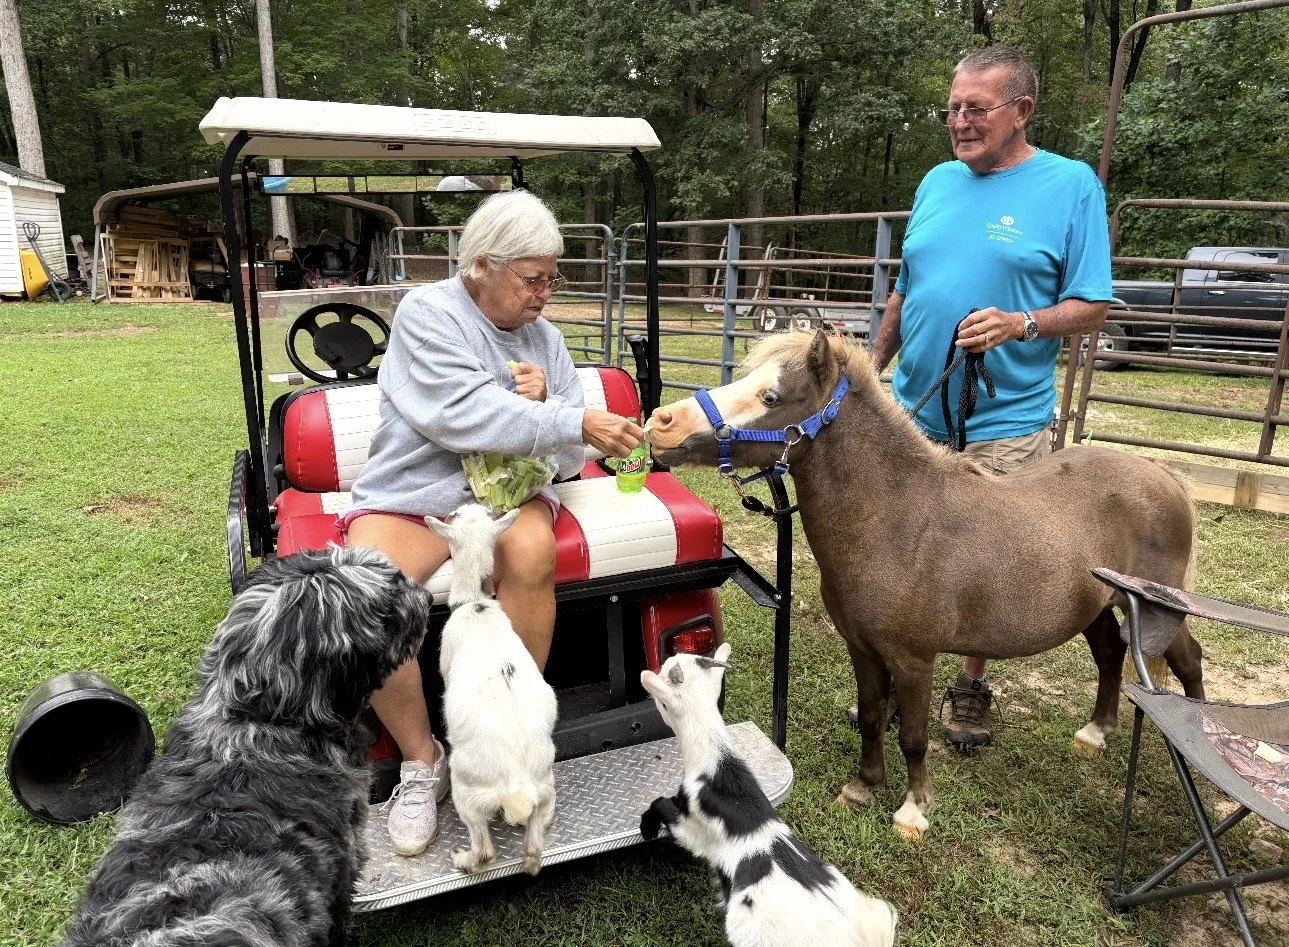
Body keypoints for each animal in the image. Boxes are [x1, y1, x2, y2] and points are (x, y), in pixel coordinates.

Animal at [640, 643, 898, 947]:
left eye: (662, 702)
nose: (660, 663)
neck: (718, 767)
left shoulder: (693, 829)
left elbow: (662, 805)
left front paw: (646, 828)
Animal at [647, 329, 1204, 838]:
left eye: (771, 397)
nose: (661, 423)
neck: (897, 521)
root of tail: (1164, 476)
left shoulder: (914, 659)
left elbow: (913, 736)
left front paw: (913, 810)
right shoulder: (863, 649)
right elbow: (873, 718)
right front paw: (862, 788)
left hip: (1158, 612)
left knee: (1188, 660)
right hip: (1098, 607)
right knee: (1111, 654)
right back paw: (1095, 732)